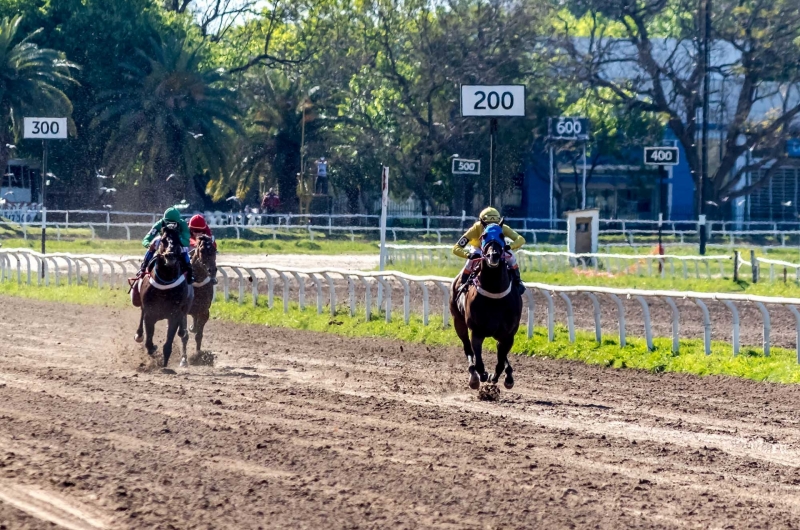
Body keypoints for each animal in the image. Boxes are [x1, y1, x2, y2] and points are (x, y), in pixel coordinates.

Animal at [134, 222, 193, 368]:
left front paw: (164, 362)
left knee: (182, 329)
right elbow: (149, 340)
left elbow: (169, 342)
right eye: (164, 240)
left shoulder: (174, 315)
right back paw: (139, 335)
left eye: (178, 241)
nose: (170, 255)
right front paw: (153, 350)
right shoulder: (150, 313)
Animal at [450, 225, 524, 390]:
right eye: (483, 235)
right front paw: (482, 374)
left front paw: (499, 377)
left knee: (500, 351)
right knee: (467, 348)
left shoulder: (509, 334)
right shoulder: (477, 331)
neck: (494, 293)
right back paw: (473, 375)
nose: (493, 255)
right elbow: (478, 358)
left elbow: (501, 360)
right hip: (458, 321)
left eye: (502, 235)